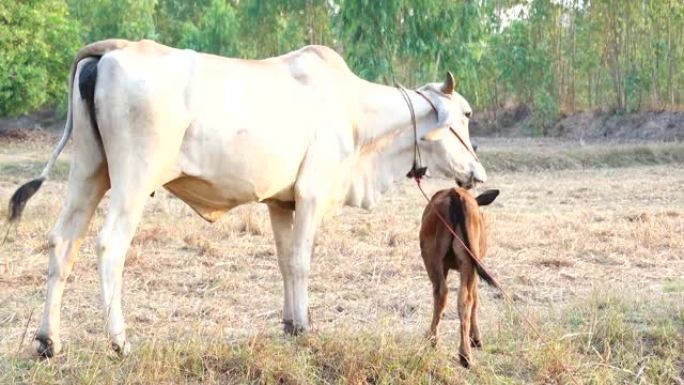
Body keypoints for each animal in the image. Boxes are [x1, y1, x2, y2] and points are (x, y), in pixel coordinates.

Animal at [8, 40, 484, 356]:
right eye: (465, 114)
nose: (477, 173)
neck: (356, 115)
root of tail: (111, 52)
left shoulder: (281, 204)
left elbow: (285, 263)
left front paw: (290, 324)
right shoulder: (311, 196)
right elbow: (301, 263)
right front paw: (306, 326)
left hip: (89, 172)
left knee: (63, 243)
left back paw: (48, 340)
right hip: (132, 180)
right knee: (109, 246)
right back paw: (119, 341)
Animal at [416, 188, 496, 368]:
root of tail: (455, 193)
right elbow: (475, 298)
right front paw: (476, 337)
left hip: (442, 261)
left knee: (450, 296)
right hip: (459, 262)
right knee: (455, 297)